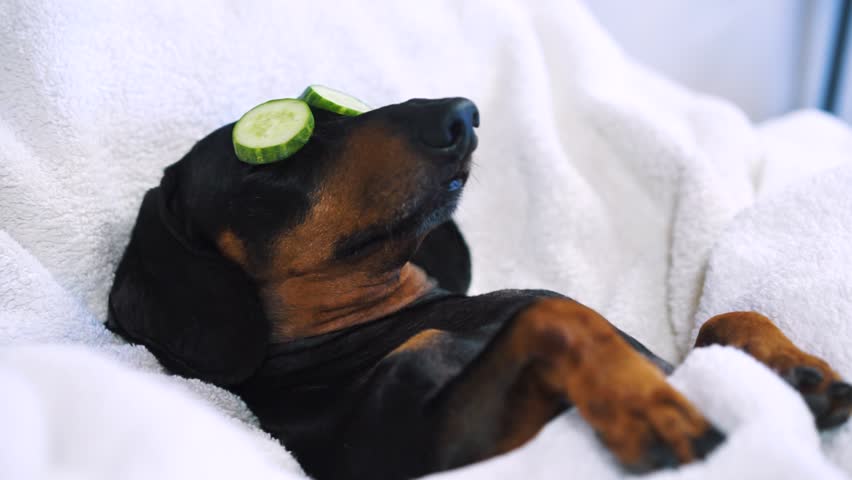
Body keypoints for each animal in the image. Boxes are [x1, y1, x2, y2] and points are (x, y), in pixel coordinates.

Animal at [106, 95, 852, 478]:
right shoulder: (435, 447)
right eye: (271, 157)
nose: (462, 113)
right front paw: (649, 407)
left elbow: (725, 317)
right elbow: (554, 317)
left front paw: (797, 369)